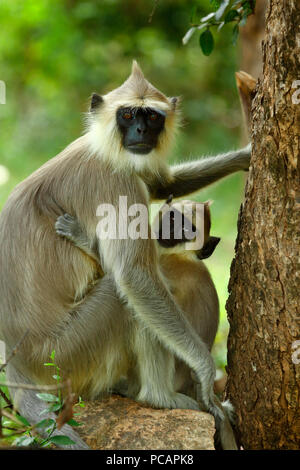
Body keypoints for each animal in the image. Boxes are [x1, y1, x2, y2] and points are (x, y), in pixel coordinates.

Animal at [0, 61, 248, 448]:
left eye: (152, 117)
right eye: (128, 114)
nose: (140, 130)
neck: (101, 149)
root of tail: (17, 358)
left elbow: (162, 183)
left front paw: (246, 156)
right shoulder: (116, 180)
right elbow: (134, 275)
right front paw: (207, 372)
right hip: (65, 355)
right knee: (126, 295)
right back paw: (161, 399)